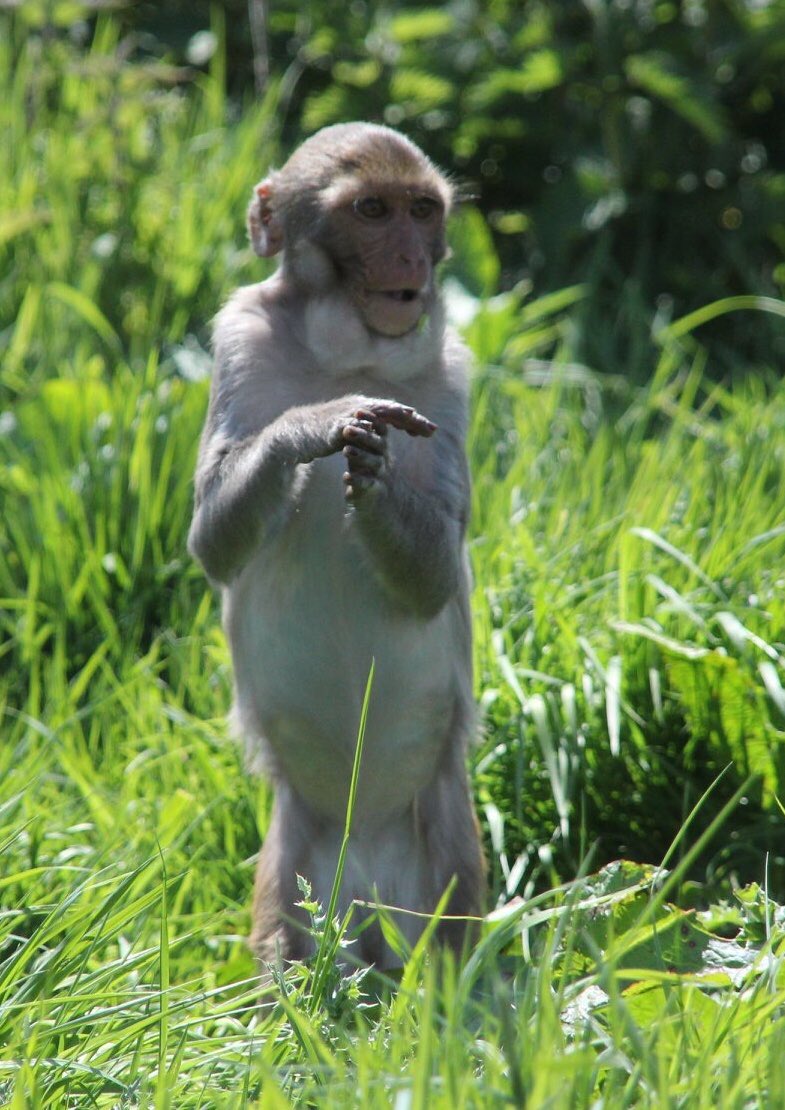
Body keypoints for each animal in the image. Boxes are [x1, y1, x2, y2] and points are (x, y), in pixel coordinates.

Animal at [188, 122, 485, 970]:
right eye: (372, 211)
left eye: (422, 210)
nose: (412, 260)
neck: (349, 355)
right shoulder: (239, 338)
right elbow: (210, 543)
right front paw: (313, 427)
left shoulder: (450, 375)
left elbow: (435, 579)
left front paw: (375, 479)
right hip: (296, 862)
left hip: (443, 849)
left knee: (452, 956)